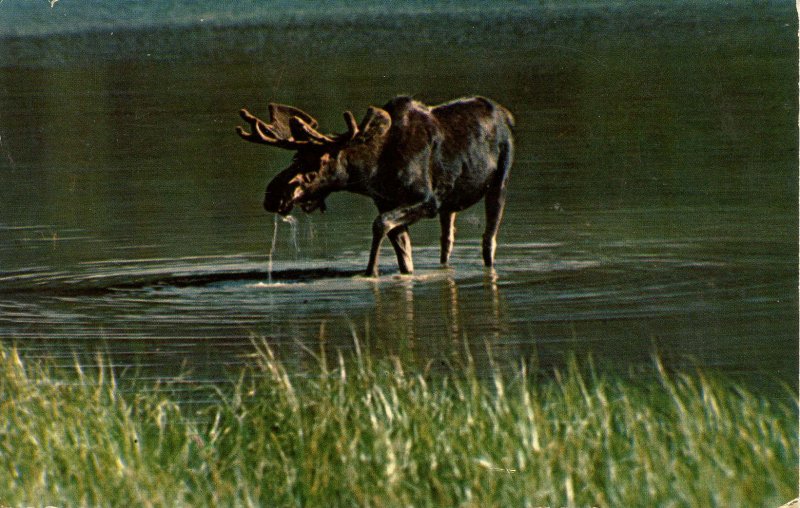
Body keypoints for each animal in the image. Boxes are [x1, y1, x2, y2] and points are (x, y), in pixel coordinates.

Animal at [234, 96, 516, 276]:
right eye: (295, 157)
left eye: (318, 162)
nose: (272, 196)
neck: (373, 170)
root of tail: (508, 115)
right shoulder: (386, 201)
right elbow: (403, 253)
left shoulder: (427, 200)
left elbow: (379, 224)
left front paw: (371, 272)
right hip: (450, 203)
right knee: (447, 239)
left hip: (499, 181)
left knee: (489, 239)